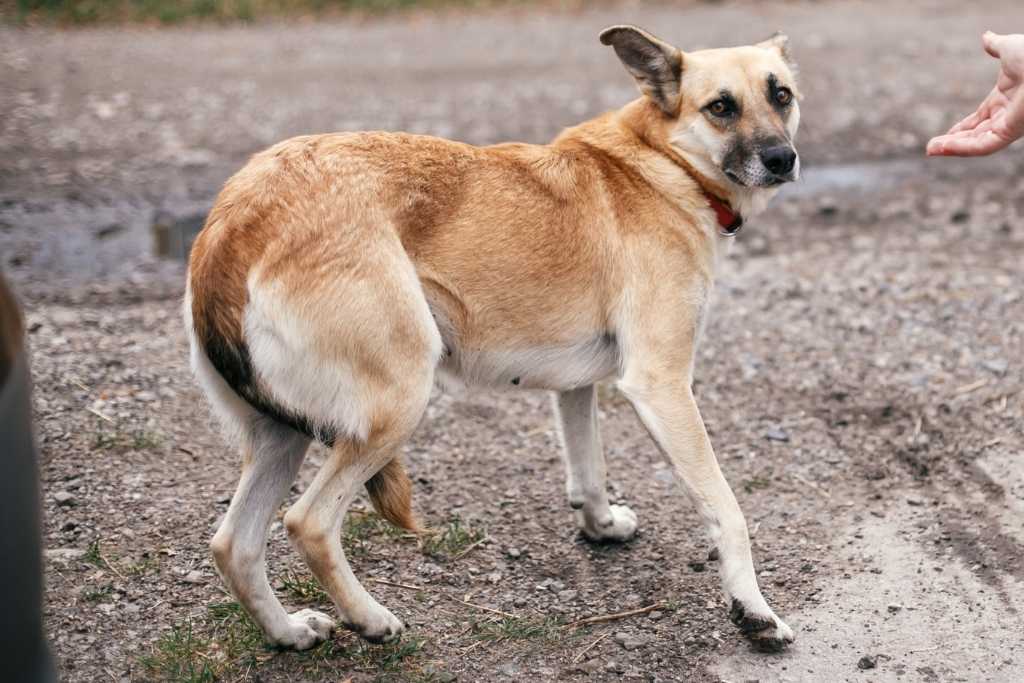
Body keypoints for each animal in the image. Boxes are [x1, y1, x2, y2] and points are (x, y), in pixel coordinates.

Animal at [188, 24, 802, 655]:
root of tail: (233, 223)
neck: (662, 163)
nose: (783, 159)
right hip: (397, 403)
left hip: (281, 435)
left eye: (780, 95)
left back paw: (287, 632)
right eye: (721, 107)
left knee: (234, 545)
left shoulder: (577, 387)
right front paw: (755, 612)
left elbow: (588, 468)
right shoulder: (661, 385)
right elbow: (727, 509)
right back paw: (372, 619)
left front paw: (601, 526)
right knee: (307, 523)